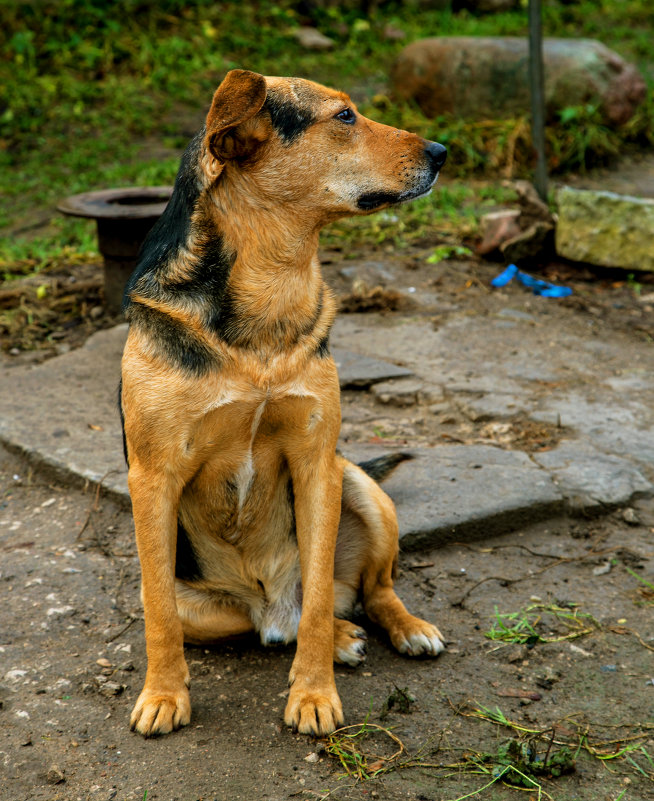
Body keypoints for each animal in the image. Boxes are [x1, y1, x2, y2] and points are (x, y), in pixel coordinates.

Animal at [120, 69, 448, 736]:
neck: (272, 279)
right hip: (202, 596)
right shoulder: (152, 478)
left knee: (364, 591)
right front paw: (163, 695)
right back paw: (330, 635)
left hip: (360, 486)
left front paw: (314, 695)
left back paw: (396, 629)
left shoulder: (316, 461)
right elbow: (159, 615)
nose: (443, 152)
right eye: (344, 116)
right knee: (249, 625)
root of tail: (271, 604)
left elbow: (320, 597)